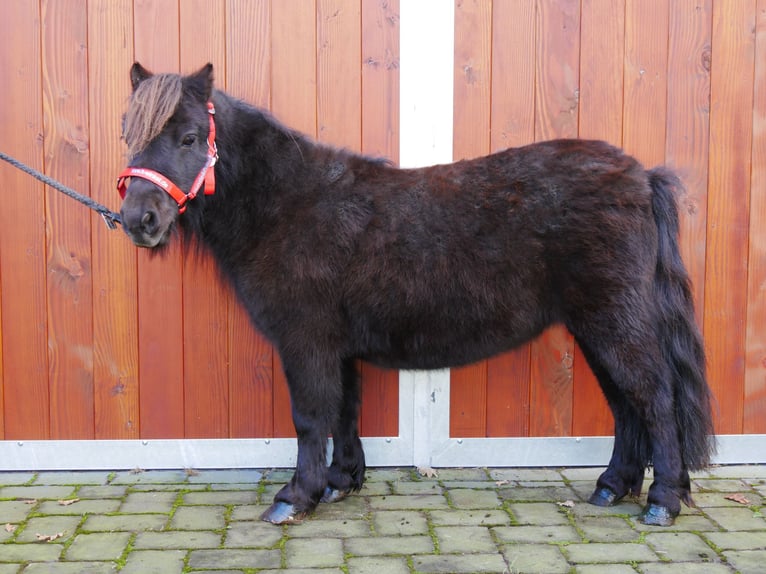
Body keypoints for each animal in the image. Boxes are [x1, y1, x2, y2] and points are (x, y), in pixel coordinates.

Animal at [118, 63, 712, 528]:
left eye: (190, 137)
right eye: (129, 135)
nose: (138, 220)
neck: (286, 204)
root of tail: (641, 176)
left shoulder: (306, 342)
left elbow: (310, 417)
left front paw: (295, 497)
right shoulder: (338, 347)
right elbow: (345, 412)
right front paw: (340, 482)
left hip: (615, 320)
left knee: (654, 398)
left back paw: (662, 501)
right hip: (595, 326)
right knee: (626, 405)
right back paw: (613, 487)